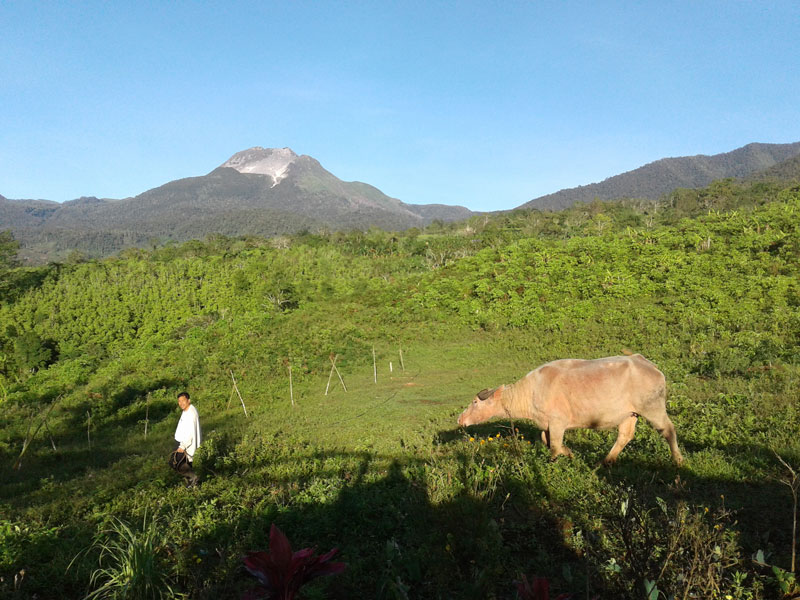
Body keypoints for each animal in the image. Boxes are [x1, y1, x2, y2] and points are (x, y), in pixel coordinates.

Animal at [456, 354, 680, 466]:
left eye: (474, 402)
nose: (460, 419)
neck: (532, 390)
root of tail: (645, 362)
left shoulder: (557, 422)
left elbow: (554, 446)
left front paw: (560, 458)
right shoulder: (547, 424)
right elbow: (546, 440)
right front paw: (569, 453)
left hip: (652, 407)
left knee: (668, 430)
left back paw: (678, 460)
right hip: (629, 413)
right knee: (625, 435)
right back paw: (606, 461)